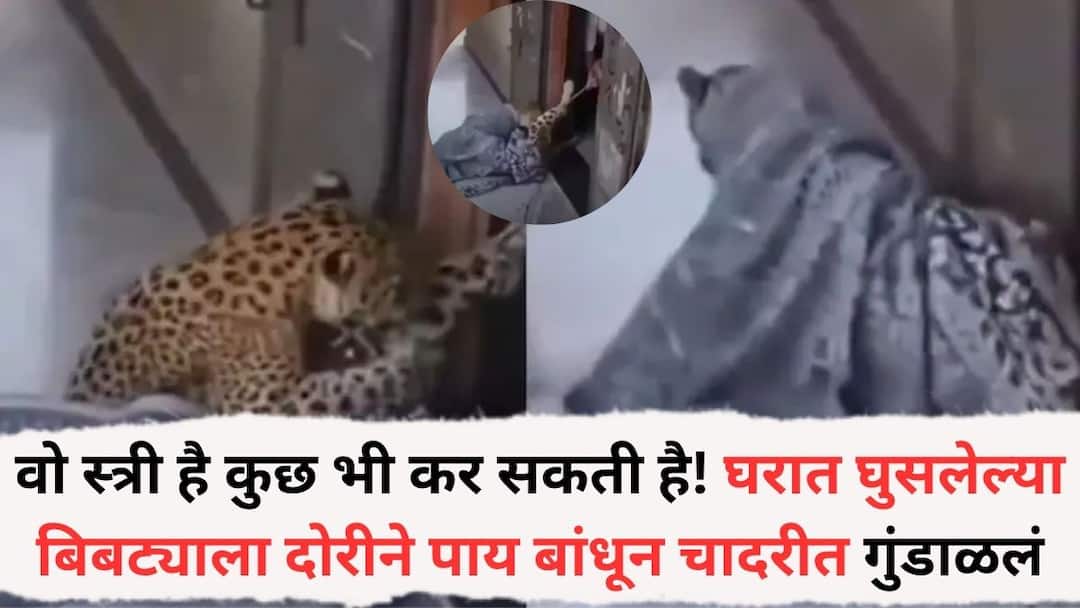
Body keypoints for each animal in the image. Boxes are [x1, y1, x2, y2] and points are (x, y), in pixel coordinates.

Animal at [64, 170, 525, 417]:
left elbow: (443, 278)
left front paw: (504, 255)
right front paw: (406, 369)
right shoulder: (258, 404)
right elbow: (348, 384)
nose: (407, 310)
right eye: (392, 284)